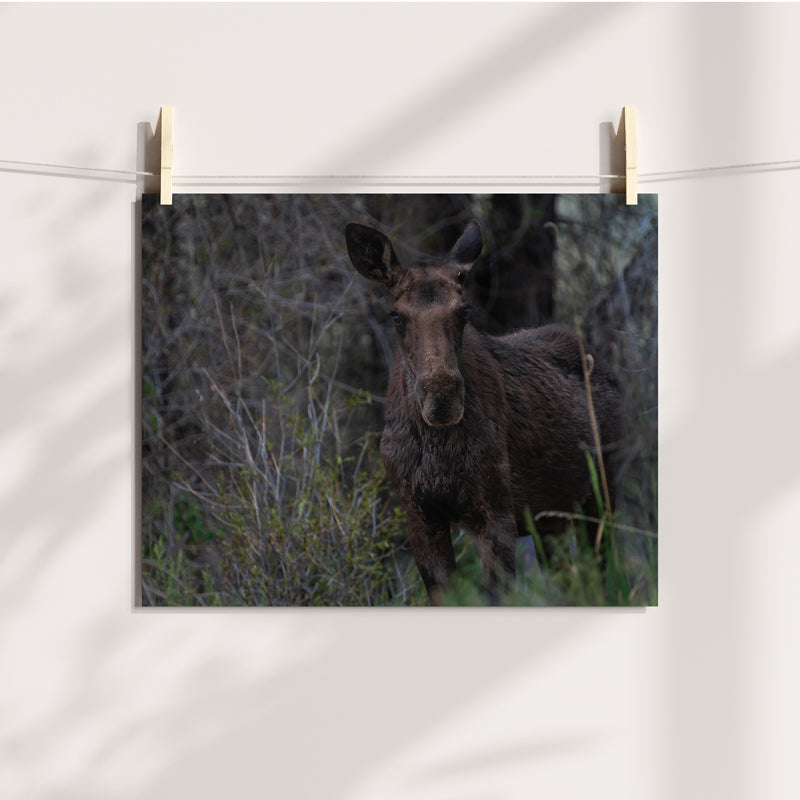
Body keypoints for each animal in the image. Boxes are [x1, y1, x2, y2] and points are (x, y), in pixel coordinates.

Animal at [345, 219, 621, 604]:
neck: (438, 448)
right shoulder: (420, 516)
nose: (442, 397)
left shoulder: (497, 513)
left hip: (601, 493)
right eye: (396, 316)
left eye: (464, 311)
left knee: (602, 574)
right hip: (550, 518)